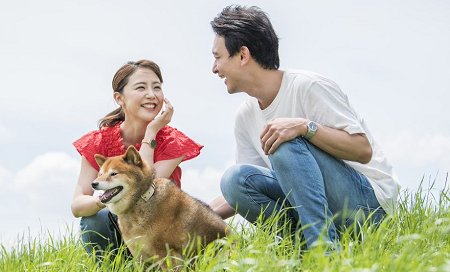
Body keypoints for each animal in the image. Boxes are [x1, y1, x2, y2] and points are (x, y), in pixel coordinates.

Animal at [91, 146, 229, 268]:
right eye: (100, 174)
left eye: (114, 173)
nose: (94, 183)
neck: (140, 201)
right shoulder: (140, 258)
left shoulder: (167, 254)